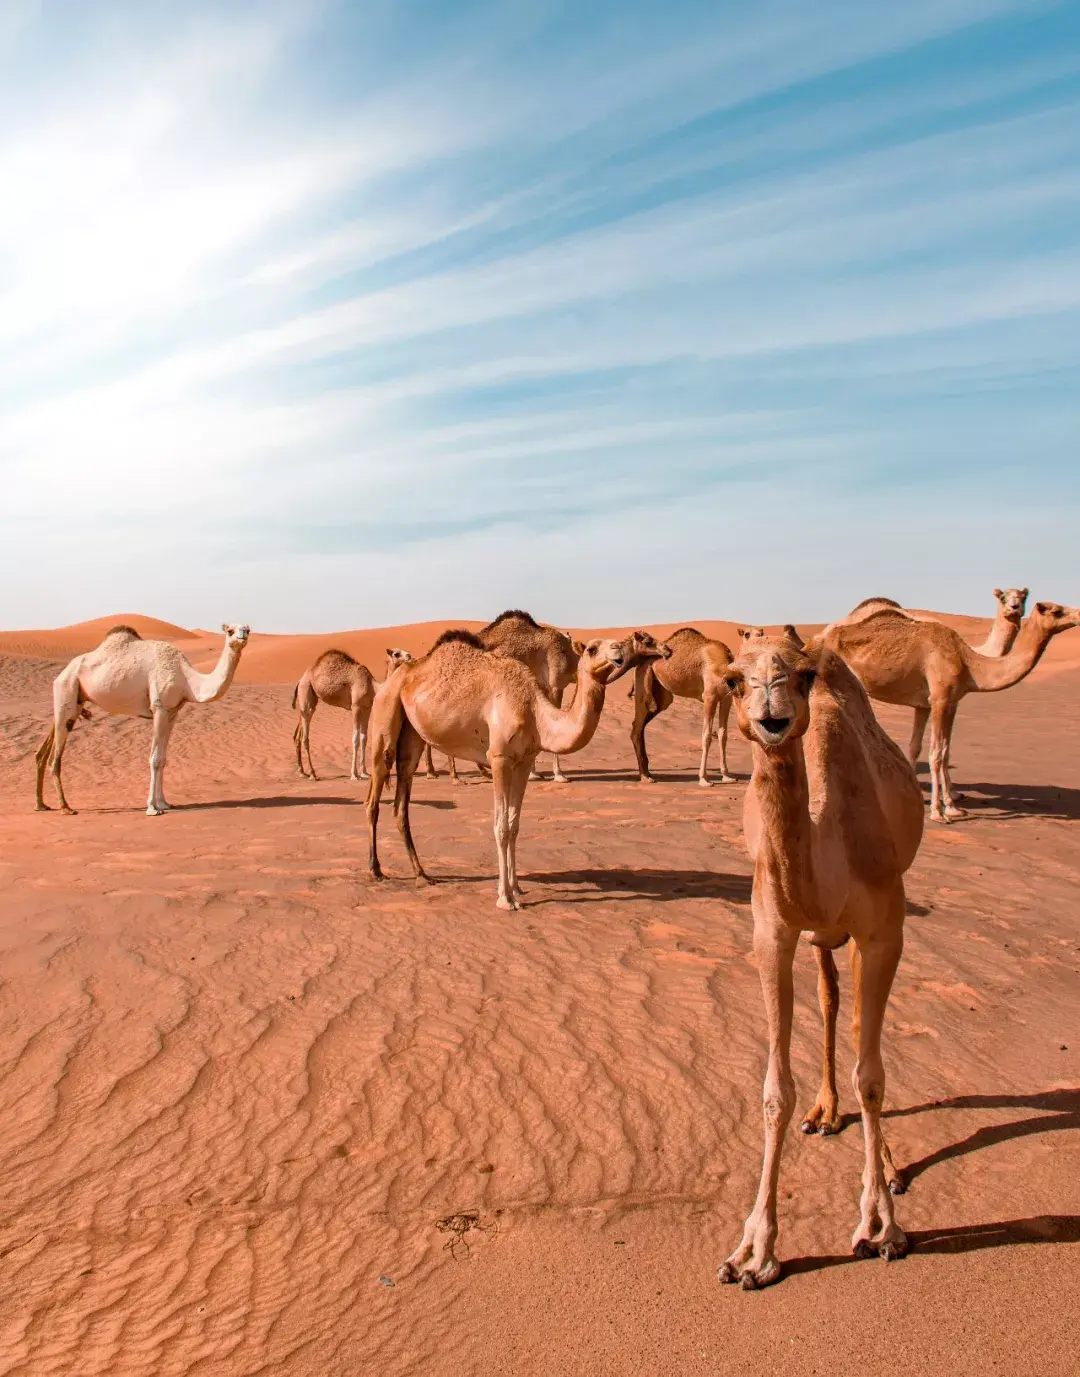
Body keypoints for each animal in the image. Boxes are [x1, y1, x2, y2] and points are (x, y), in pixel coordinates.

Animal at [35, 625, 250, 815]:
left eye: (247, 628)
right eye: (230, 630)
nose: (243, 634)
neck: (186, 679)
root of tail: (62, 673)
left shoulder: (172, 712)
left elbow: (163, 759)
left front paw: (165, 803)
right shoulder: (159, 707)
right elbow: (154, 759)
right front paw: (152, 808)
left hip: (74, 700)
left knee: (46, 745)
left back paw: (41, 804)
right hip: (67, 688)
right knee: (55, 757)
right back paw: (65, 807)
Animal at [363, 630, 666, 908]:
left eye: (617, 643)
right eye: (592, 649)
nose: (617, 650)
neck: (535, 713)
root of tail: (394, 679)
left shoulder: (524, 761)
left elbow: (514, 824)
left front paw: (517, 887)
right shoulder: (499, 758)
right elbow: (500, 826)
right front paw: (504, 898)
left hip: (412, 736)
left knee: (401, 802)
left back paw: (422, 875)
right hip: (384, 718)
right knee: (373, 797)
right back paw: (375, 870)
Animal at [628, 627, 738, 787]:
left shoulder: (727, 698)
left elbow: (723, 735)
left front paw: (727, 776)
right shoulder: (710, 696)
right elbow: (707, 736)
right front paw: (704, 779)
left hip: (663, 697)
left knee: (641, 725)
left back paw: (648, 773)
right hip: (642, 680)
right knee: (637, 726)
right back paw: (644, 776)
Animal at [710, 630, 925, 1283]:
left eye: (801, 676)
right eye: (734, 679)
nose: (772, 713)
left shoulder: (884, 930)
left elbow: (873, 1075)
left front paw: (880, 1226)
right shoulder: (772, 933)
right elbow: (775, 1090)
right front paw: (753, 1251)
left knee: (856, 1031)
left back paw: (886, 1164)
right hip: (819, 938)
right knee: (830, 1001)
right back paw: (826, 1112)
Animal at [821, 600, 1080, 820]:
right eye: (1056, 610)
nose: (1078, 614)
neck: (968, 662)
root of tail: (820, 637)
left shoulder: (938, 703)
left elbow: (941, 751)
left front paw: (952, 807)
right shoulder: (940, 698)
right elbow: (935, 754)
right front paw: (938, 812)